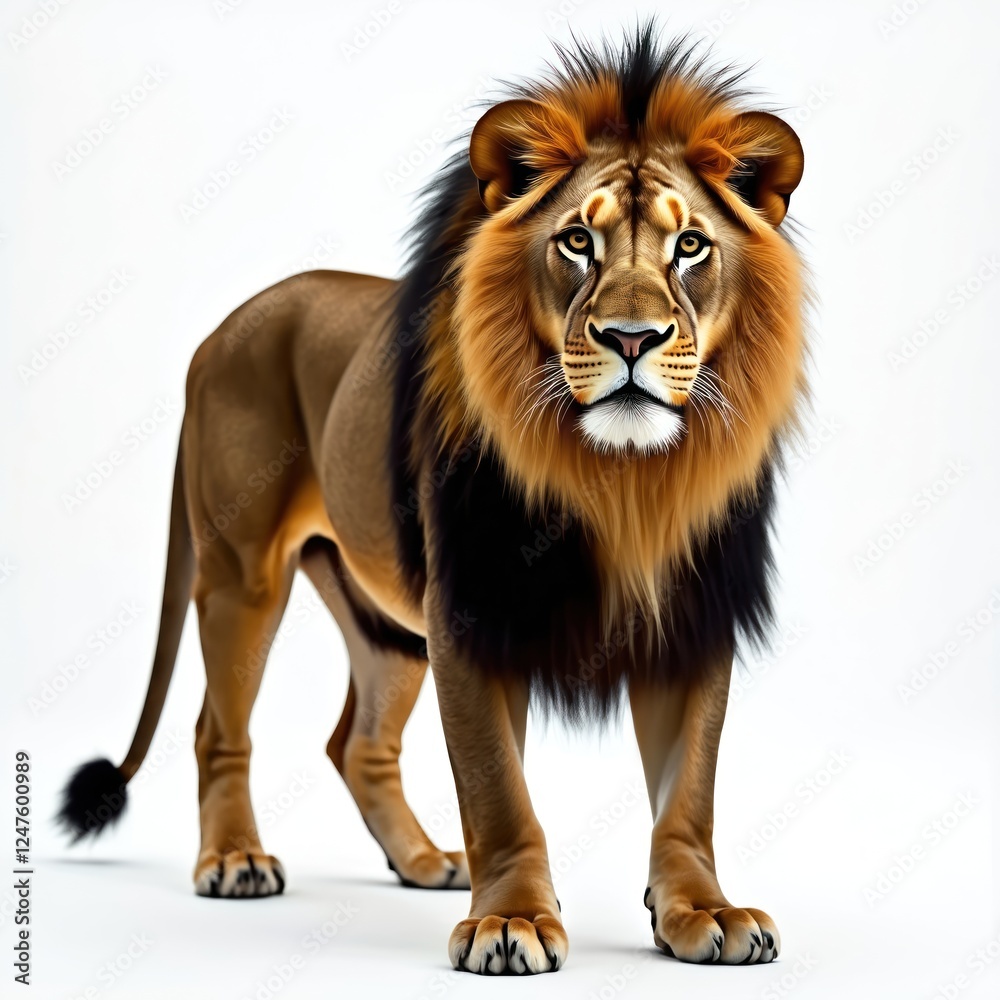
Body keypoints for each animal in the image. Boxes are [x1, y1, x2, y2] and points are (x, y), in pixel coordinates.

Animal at [60, 27, 807, 975]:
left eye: (691, 248)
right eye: (576, 241)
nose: (631, 338)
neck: (624, 482)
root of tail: (225, 327)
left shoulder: (695, 615)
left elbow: (689, 794)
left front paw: (704, 911)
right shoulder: (472, 614)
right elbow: (498, 790)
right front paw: (511, 921)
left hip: (385, 624)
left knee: (359, 743)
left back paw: (422, 862)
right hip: (241, 574)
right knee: (214, 727)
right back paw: (233, 861)